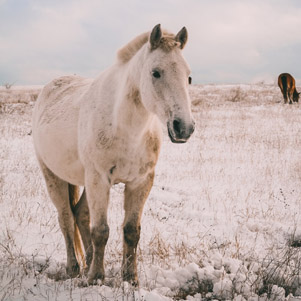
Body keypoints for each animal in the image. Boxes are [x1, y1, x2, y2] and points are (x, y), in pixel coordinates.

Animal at [31, 24, 193, 284]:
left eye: (188, 77)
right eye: (156, 73)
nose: (184, 127)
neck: (124, 126)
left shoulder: (140, 182)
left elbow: (131, 231)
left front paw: (130, 279)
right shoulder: (99, 179)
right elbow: (101, 231)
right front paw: (97, 278)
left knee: (81, 214)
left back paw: (87, 264)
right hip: (53, 176)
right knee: (66, 219)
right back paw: (74, 269)